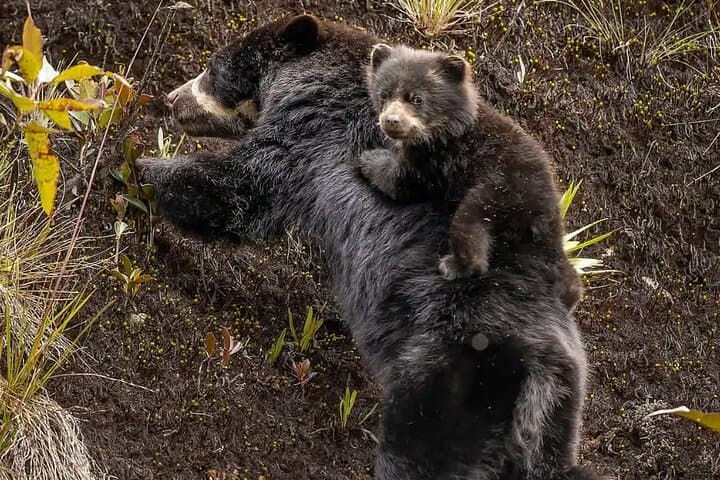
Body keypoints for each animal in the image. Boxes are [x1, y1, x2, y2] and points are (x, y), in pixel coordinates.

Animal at [359, 44, 583, 312]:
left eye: (416, 98)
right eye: (384, 94)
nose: (391, 121)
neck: (448, 126)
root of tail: (544, 203)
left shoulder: (435, 158)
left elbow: (403, 181)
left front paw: (368, 158)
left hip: (497, 193)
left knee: (469, 224)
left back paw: (454, 266)